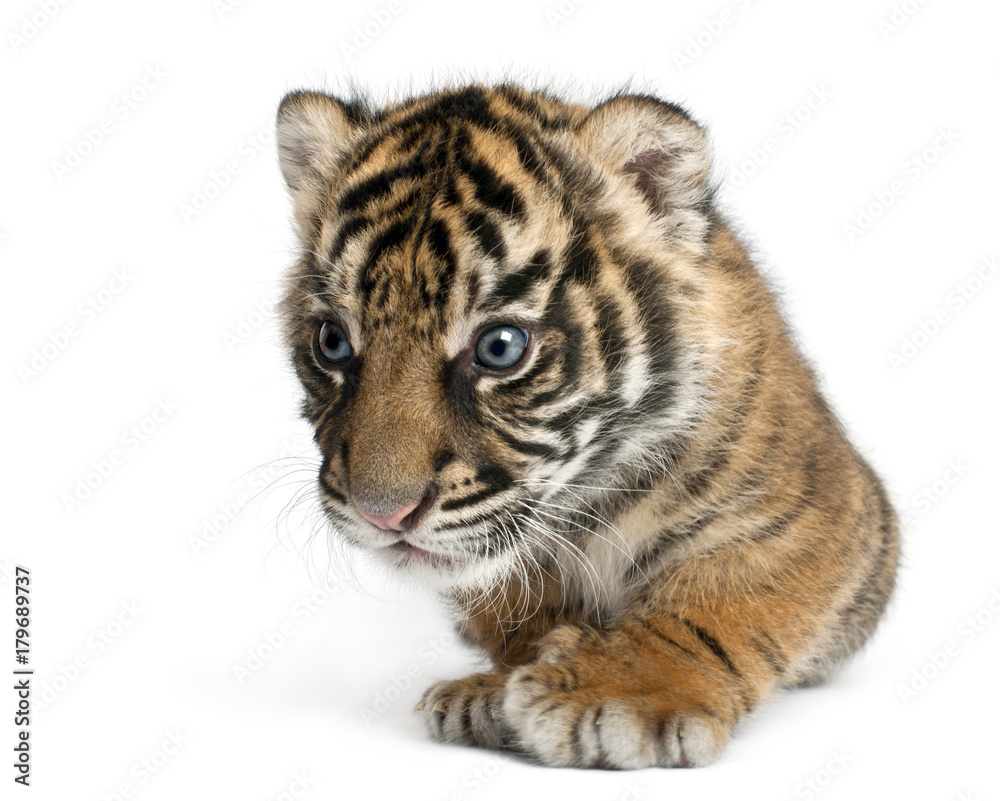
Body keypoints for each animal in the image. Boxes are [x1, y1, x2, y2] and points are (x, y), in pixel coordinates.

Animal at [274, 82, 899, 769]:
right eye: (332, 342)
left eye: (499, 348)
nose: (383, 514)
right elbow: (520, 608)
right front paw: (495, 690)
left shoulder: (814, 510)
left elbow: (722, 599)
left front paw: (620, 696)